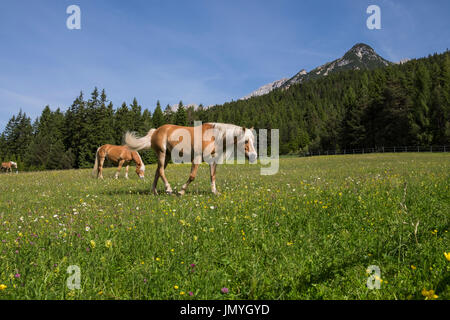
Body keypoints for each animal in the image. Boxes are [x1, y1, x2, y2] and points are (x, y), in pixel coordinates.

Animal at [124, 122, 256, 195]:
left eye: (253, 140)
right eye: (245, 141)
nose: (254, 156)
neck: (213, 137)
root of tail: (156, 131)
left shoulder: (212, 160)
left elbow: (212, 176)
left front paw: (215, 192)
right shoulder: (196, 158)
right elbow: (192, 176)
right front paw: (181, 191)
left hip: (166, 156)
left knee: (158, 172)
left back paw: (155, 192)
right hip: (162, 154)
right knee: (161, 171)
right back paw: (169, 189)